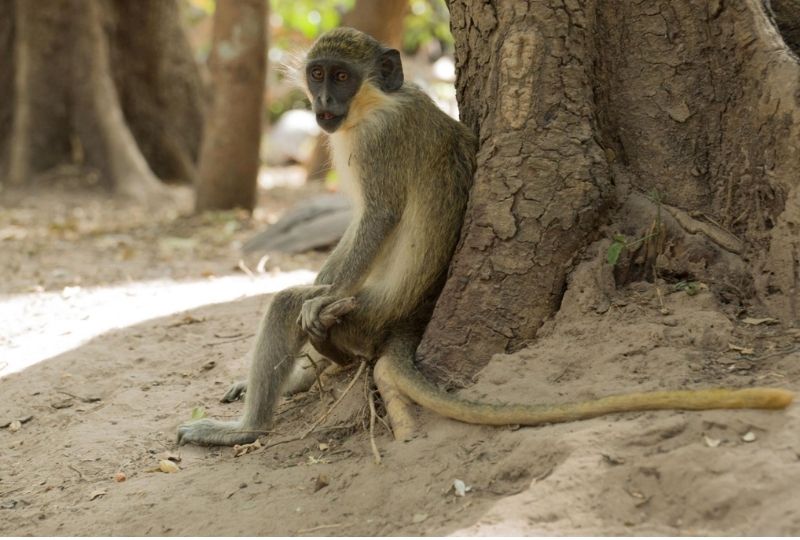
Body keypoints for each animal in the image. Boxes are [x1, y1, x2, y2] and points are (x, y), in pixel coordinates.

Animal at [177, 28, 793, 447]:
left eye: (343, 77)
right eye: (318, 74)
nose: (325, 105)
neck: (381, 101)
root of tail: (405, 317)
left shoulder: (380, 143)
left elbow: (376, 220)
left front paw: (317, 302)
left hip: (365, 314)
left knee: (288, 303)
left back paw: (248, 425)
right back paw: (302, 377)